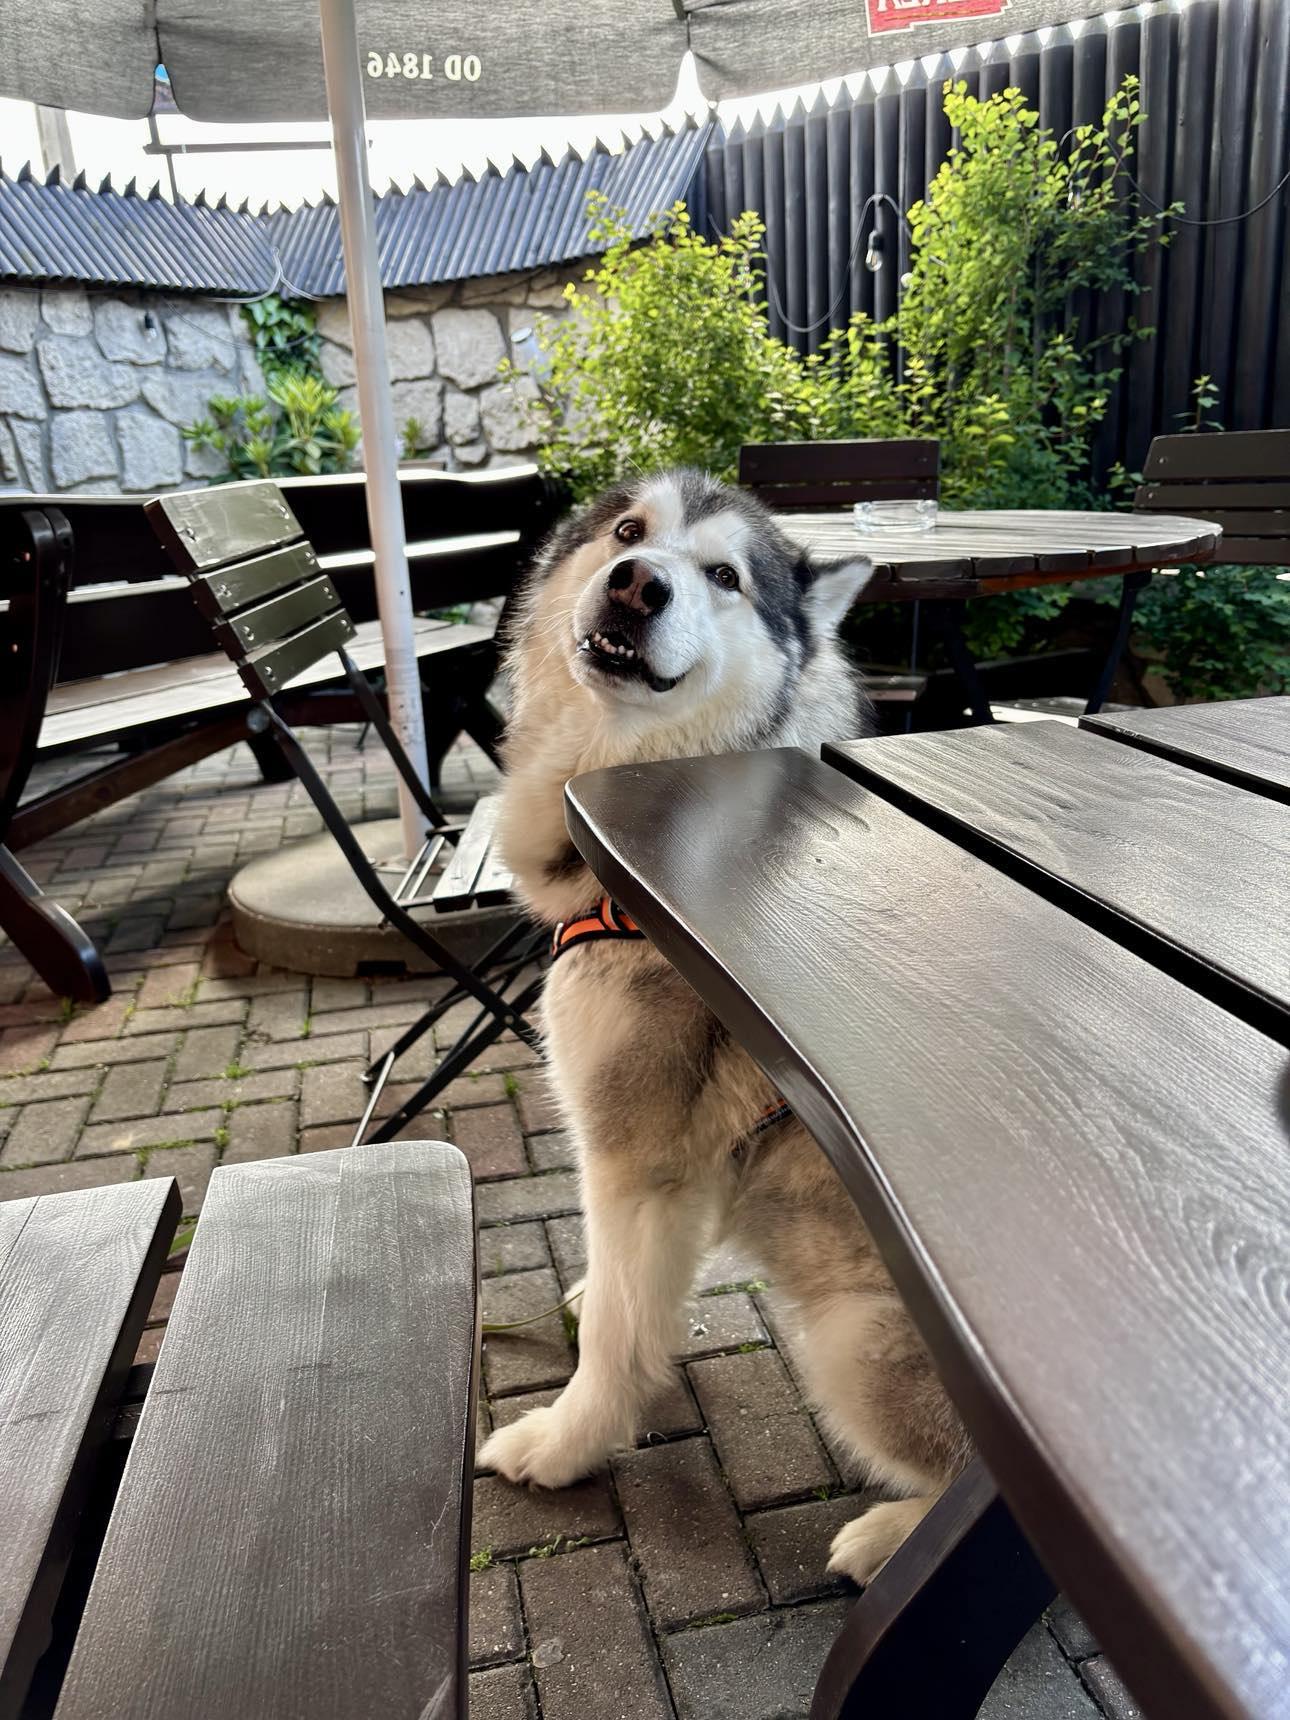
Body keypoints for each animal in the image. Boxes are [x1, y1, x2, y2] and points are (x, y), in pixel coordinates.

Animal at [478, 469, 971, 1585]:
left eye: (723, 577)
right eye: (629, 531)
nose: (636, 585)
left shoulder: (636, 1154)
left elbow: (617, 1341)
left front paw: (566, 1443)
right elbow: (630, 1295)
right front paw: (594, 1295)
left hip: (850, 1341)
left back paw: (885, 1540)